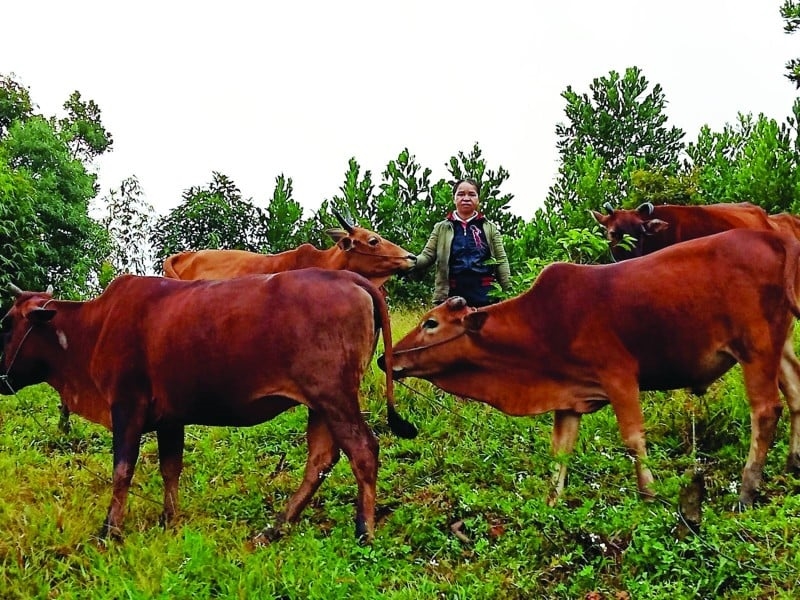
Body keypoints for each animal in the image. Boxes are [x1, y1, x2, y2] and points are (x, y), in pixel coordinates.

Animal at [3, 270, 418, 540]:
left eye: (6, 323)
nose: (0, 377)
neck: (95, 325)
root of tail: (351, 277)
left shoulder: (127, 405)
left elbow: (122, 470)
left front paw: (109, 530)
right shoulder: (169, 418)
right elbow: (170, 468)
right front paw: (168, 520)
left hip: (334, 395)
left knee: (362, 450)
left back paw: (364, 530)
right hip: (321, 402)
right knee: (320, 459)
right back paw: (276, 527)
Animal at [378, 229, 800, 506]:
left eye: (431, 323)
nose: (386, 359)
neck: (542, 323)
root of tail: (774, 239)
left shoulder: (619, 375)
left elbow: (633, 438)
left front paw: (650, 495)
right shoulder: (568, 399)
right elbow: (560, 452)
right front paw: (552, 503)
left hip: (755, 347)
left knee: (766, 410)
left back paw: (747, 490)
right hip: (777, 345)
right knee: (795, 394)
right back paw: (793, 464)